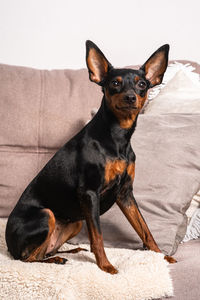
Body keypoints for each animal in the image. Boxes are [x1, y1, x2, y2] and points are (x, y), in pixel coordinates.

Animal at [5, 41, 176, 276]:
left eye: (142, 84)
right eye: (115, 83)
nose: (131, 97)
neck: (118, 138)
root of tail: (8, 246)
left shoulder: (125, 194)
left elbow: (145, 229)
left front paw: (161, 255)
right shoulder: (89, 193)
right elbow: (98, 236)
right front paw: (106, 266)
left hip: (75, 222)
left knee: (42, 252)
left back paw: (68, 251)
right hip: (47, 215)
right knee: (27, 258)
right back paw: (56, 259)